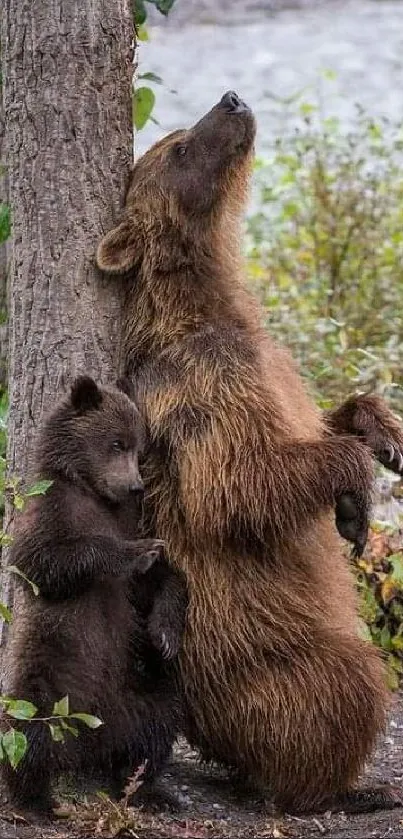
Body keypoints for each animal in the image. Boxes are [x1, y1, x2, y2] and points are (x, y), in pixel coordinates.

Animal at [97, 93, 403, 812]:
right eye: (180, 147)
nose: (231, 100)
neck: (209, 306)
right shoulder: (200, 386)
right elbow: (237, 484)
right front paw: (355, 490)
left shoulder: (272, 364)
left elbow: (319, 417)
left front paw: (381, 436)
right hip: (258, 655)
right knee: (347, 680)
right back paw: (344, 788)